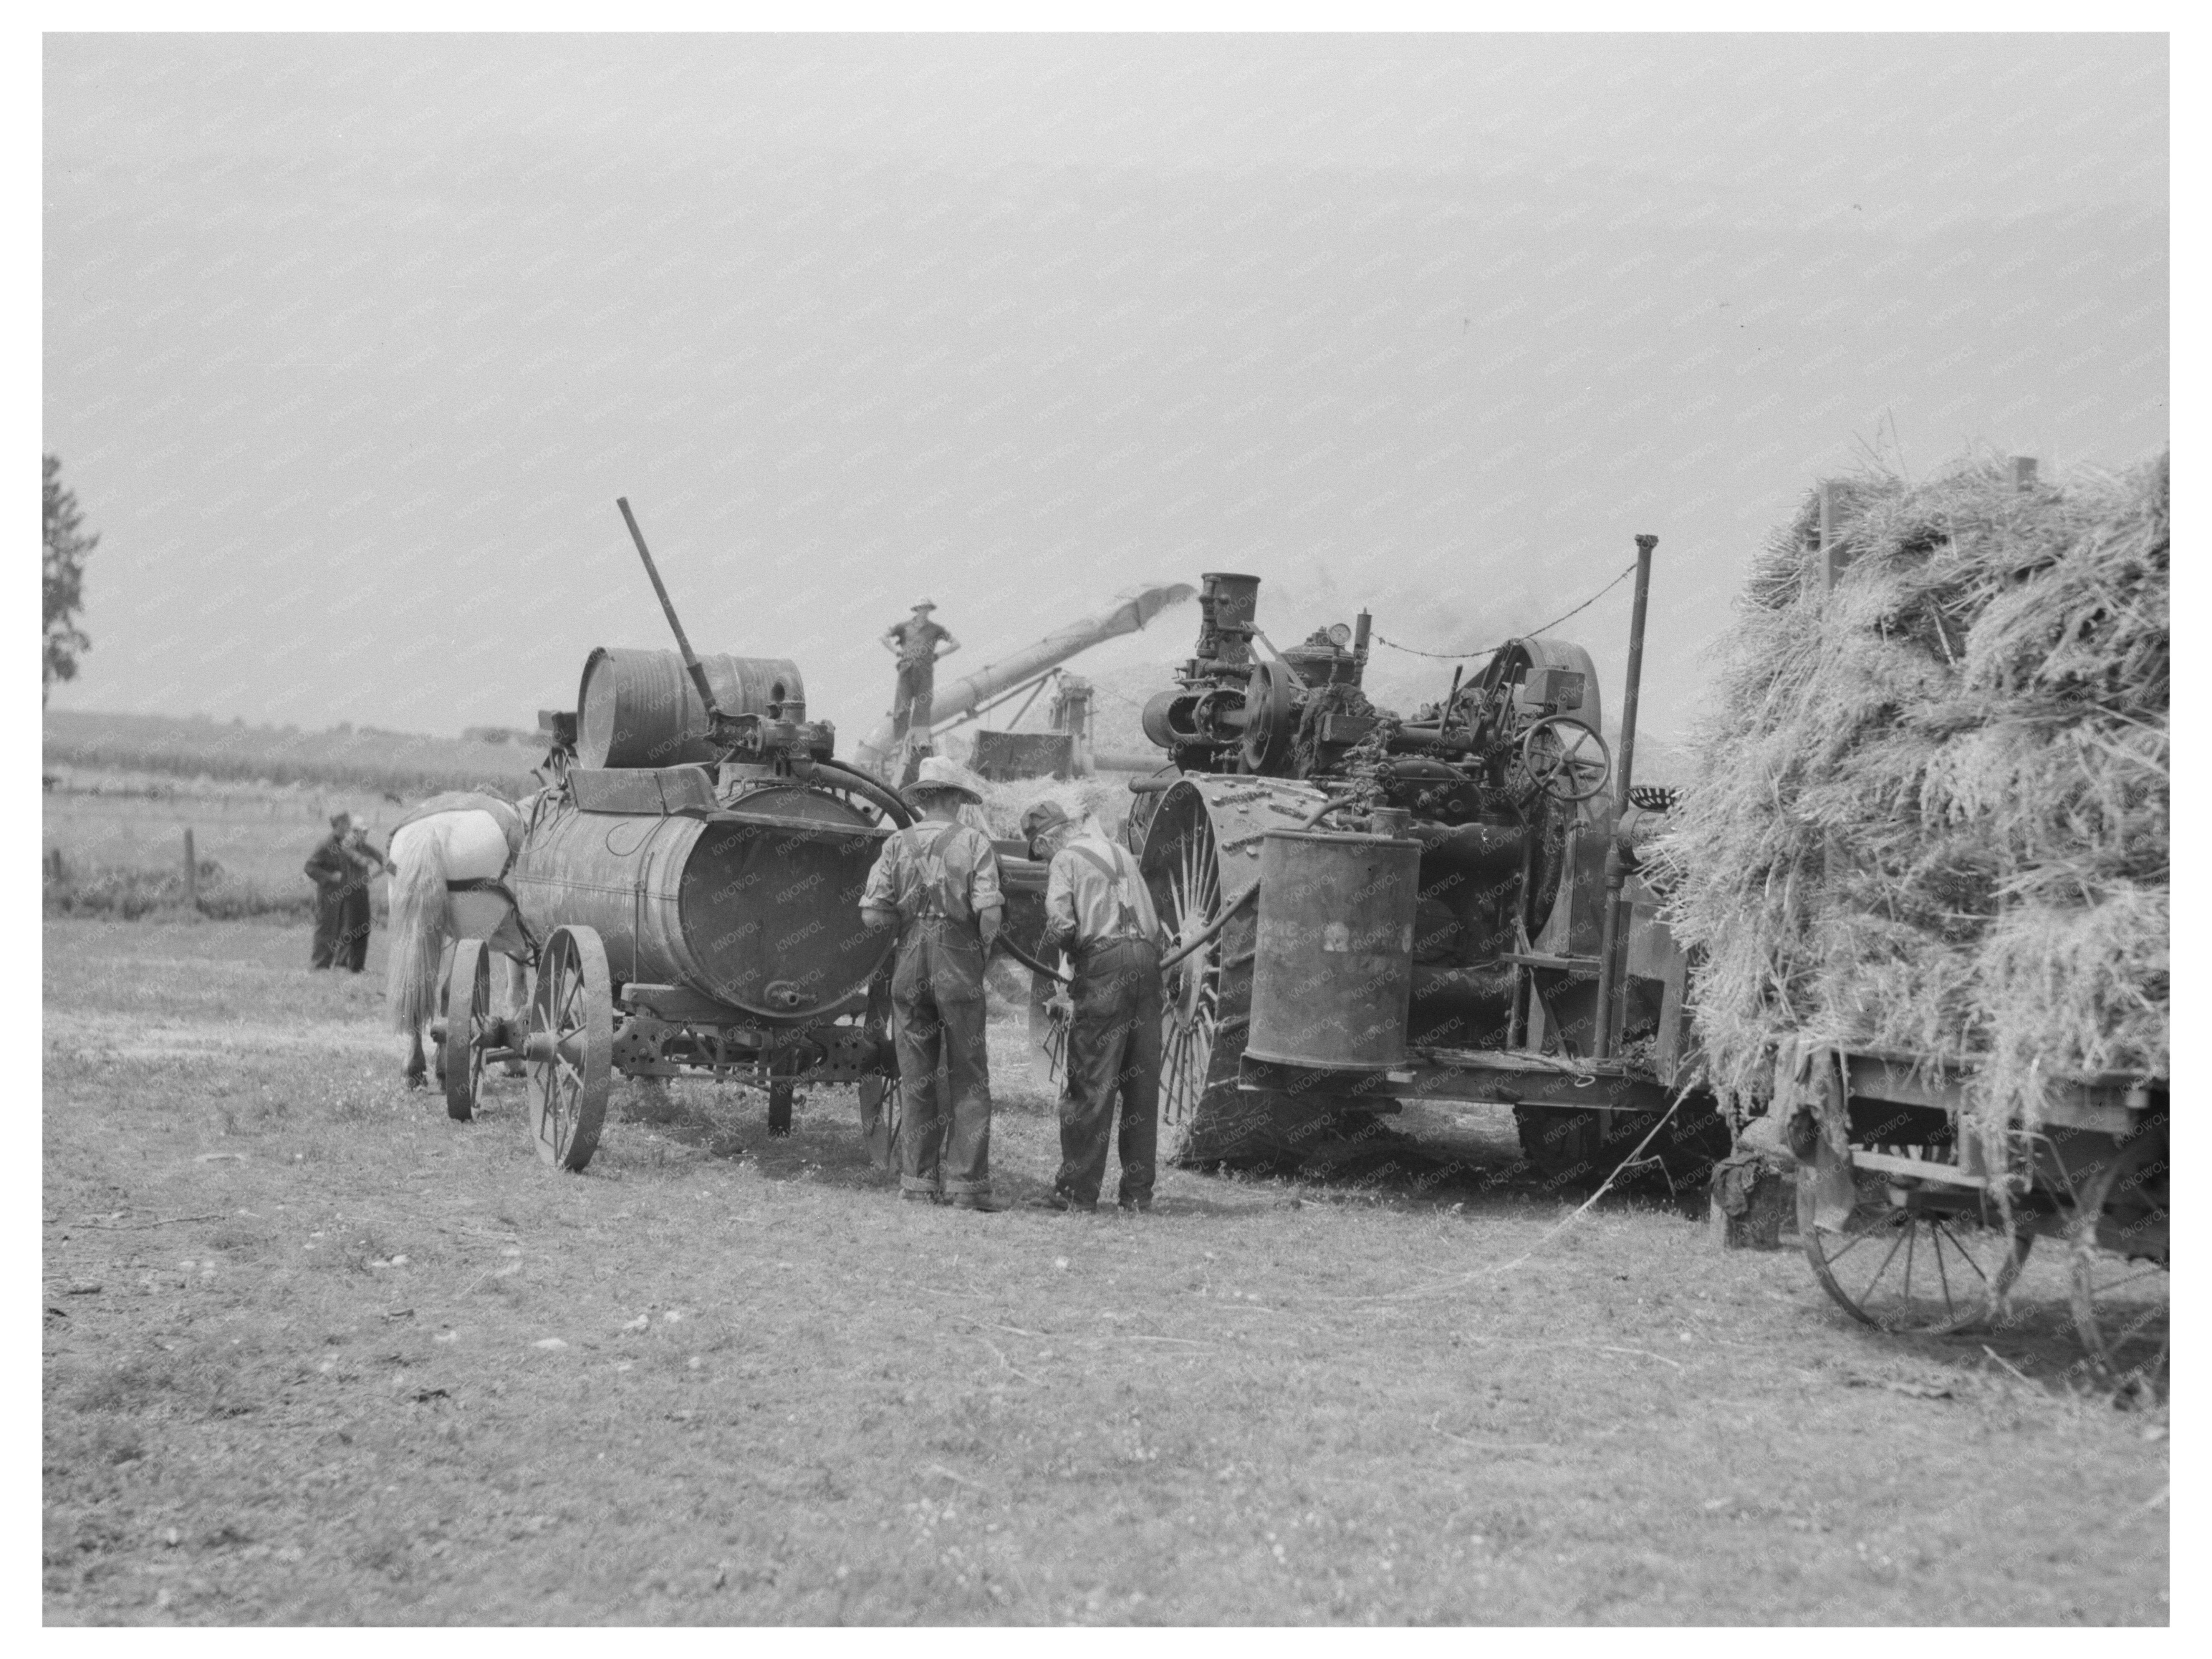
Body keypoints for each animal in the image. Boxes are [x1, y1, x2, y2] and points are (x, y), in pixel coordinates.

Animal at [385, 800, 531, 1097]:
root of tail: (433, 830)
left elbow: (517, 994)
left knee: (420, 988)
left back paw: (415, 1068)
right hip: (472, 935)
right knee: (452, 992)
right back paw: (445, 1070)